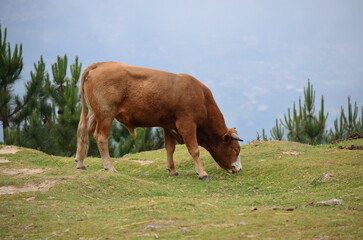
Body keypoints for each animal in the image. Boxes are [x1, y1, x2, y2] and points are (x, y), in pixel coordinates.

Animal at [75, 62, 243, 180]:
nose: (239, 169)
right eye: (236, 150)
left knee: (83, 131)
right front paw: (202, 173)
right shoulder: (187, 123)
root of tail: (100, 64)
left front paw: (172, 170)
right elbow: (194, 149)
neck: (201, 96)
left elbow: (169, 148)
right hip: (106, 114)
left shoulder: (168, 125)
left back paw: (80, 163)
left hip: (94, 113)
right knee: (100, 137)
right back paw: (109, 167)